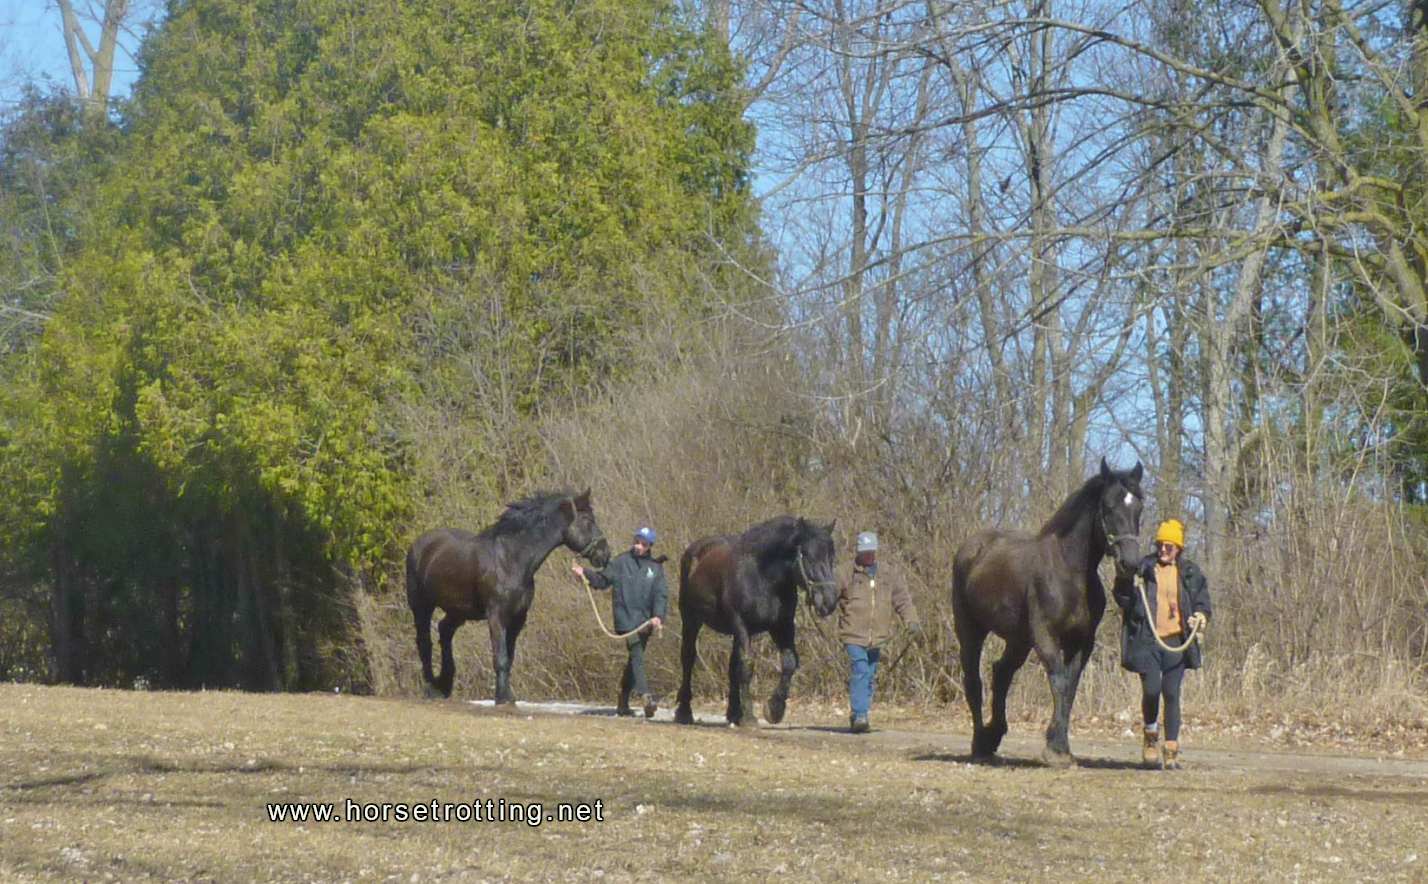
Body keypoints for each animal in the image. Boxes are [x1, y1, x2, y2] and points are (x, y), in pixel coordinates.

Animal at [405, 488, 611, 704]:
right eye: (587, 520)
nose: (605, 554)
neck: (511, 559)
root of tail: (419, 544)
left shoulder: (518, 617)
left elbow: (509, 657)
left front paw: (508, 696)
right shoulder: (497, 616)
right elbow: (500, 657)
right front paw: (502, 698)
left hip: (458, 611)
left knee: (445, 631)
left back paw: (444, 685)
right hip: (421, 606)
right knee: (424, 643)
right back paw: (431, 688)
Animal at [673, 516, 840, 727]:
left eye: (831, 557)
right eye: (808, 555)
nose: (829, 601)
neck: (762, 577)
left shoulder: (782, 627)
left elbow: (789, 663)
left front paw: (774, 709)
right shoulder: (741, 625)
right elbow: (747, 665)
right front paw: (750, 716)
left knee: (732, 666)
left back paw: (733, 713)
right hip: (691, 620)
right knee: (688, 658)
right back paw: (684, 712)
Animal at [951, 459, 1144, 766]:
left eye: (1139, 507)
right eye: (1108, 506)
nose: (1131, 563)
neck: (1069, 571)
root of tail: (971, 548)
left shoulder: (1082, 642)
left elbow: (1070, 687)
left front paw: (1060, 746)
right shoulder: (1045, 636)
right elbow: (1059, 681)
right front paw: (1055, 748)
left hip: (1019, 640)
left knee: (1001, 672)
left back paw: (994, 735)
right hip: (971, 631)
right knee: (974, 681)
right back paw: (980, 743)